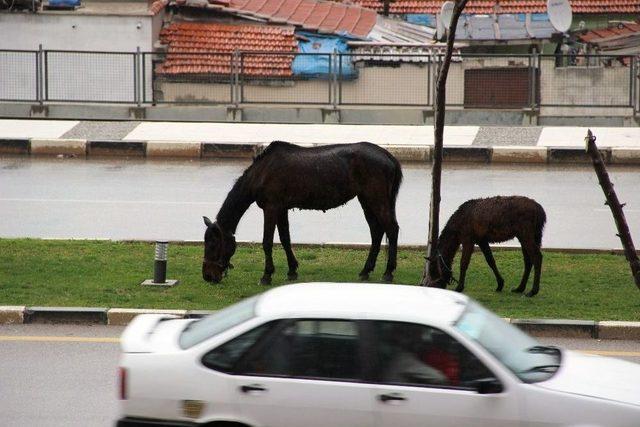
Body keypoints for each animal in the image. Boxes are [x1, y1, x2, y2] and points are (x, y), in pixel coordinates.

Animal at [202, 142, 402, 286]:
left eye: (212, 244)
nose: (207, 276)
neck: (262, 172)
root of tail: (388, 156)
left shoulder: (271, 208)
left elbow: (267, 242)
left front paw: (266, 275)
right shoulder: (281, 209)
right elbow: (285, 239)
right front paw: (292, 270)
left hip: (376, 200)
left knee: (391, 229)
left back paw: (388, 272)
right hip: (366, 200)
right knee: (376, 232)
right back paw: (366, 271)